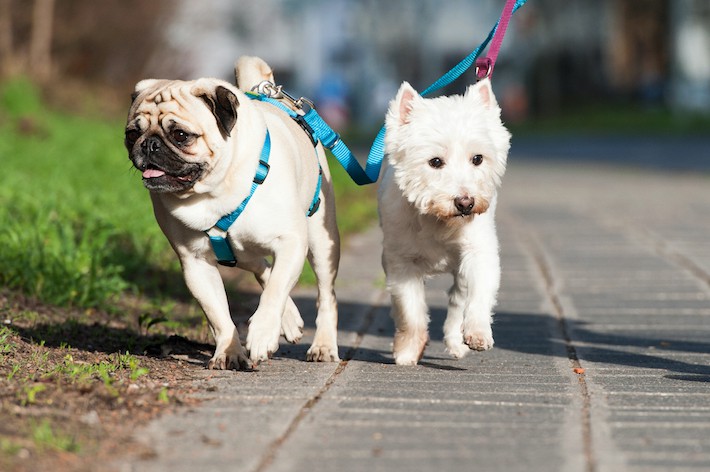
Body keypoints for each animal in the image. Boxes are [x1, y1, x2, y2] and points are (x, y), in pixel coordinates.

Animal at [378, 78, 512, 366]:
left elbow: (479, 293)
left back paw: (457, 342)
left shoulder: (479, 251)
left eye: (478, 158)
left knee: (457, 300)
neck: (439, 221)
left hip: (460, 270)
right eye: (435, 162)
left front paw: (477, 333)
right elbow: (411, 311)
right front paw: (408, 351)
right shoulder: (402, 263)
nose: (465, 203)